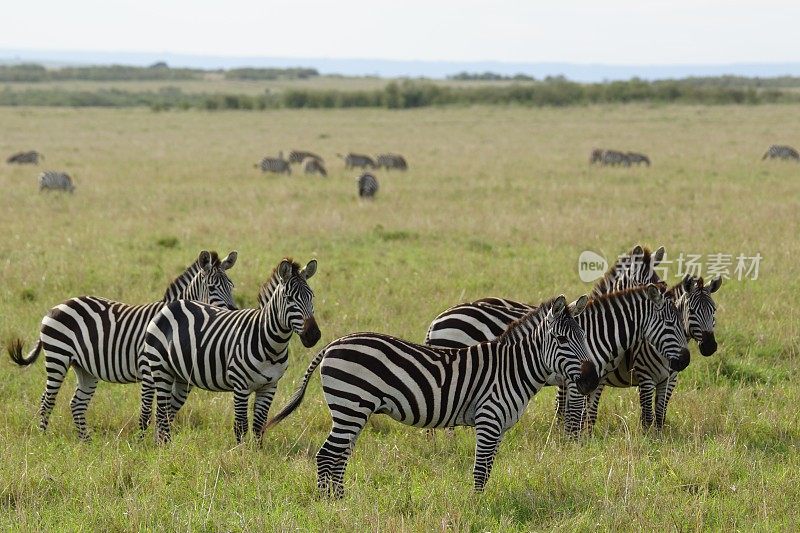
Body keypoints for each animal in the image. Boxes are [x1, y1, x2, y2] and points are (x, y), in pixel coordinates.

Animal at [7, 251, 238, 438]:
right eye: (212, 287)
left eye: (231, 286)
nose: (234, 311)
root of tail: (57, 306)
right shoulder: (148, 369)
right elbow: (147, 411)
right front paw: (143, 444)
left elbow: (168, 411)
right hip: (58, 357)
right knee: (47, 400)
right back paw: (43, 437)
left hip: (84, 368)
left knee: (77, 404)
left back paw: (86, 442)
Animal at [141, 256, 318, 442]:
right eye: (289, 298)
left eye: (311, 296)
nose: (314, 335)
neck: (271, 345)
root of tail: (171, 305)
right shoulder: (240, 385)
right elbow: (241, 427)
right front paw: (241, 450)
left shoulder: (269, 387)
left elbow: (259, 427)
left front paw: (257, 450)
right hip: (161, 370)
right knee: (162, 414)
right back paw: (164, 447)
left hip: (181, 377)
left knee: (167, 413)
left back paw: (163, 445)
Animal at [266, 294, 596, 496]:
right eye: (562, 339)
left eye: (583, 337)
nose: (591, 380)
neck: (512, 369)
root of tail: (333, 344)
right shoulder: (489, 419)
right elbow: (481, 470)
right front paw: (477, 505)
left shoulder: (499, 426)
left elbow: (489, 468)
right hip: (350, 406)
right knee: (327, 455)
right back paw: (329, 503)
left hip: (352, 411)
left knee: (339, 456)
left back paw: (341, 501)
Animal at [604, 274, 720, 428]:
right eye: (691, 311)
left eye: (714, 310)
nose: (710, 347)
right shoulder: (646, 378)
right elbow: (648, 417)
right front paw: (647, 434)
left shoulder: (670, 380)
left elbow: (660, 414)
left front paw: (659, 434)